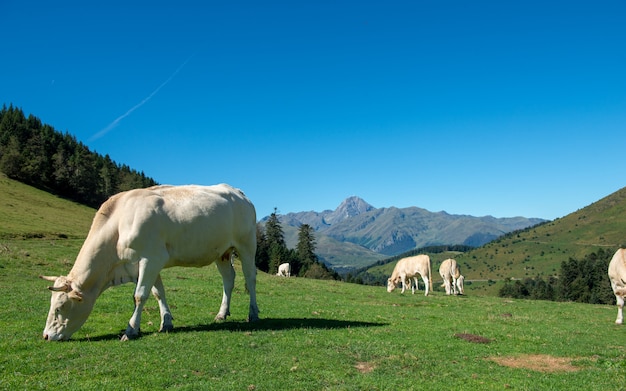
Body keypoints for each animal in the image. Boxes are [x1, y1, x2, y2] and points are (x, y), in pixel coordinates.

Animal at [40, 185, 258, 342]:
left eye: (59, 308)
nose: (46, 336)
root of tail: (238, 192)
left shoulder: (151, 258)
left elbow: (140, 295)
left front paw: (131, 329)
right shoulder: (145, 264)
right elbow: (157, 292)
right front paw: (166, 322)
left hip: (247, 244)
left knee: (250, 278)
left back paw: (253, 314)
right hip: (222, 252)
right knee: (228, 279)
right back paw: (222, 313)